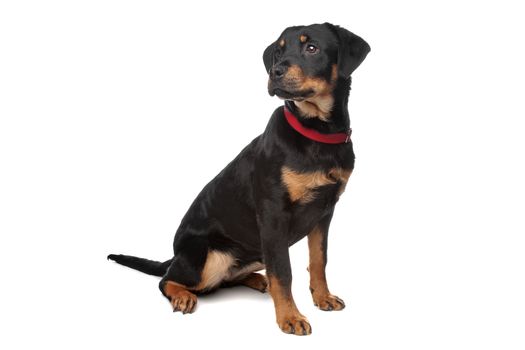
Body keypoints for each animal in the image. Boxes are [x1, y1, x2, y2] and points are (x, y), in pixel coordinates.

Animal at [106, 23, 368, 334]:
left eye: (312, 48)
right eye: (278, 51)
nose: (275, 71)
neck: (317, 133)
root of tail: (177, 254)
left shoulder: (324, 212)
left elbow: (318, 260)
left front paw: (323, 297)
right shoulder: (273, 215)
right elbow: (284, 271)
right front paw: (290, 317)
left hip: (254, 252)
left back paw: (257, 279)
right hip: (210, 257)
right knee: (169, 279)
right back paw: (183, 296)